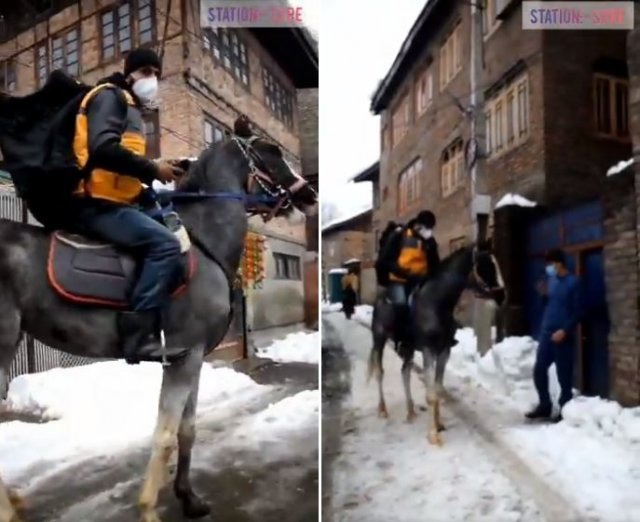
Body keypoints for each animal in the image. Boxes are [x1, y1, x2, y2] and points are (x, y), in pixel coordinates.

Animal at [0, 117, 318, 520]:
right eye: (270, 150)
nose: (310, 194)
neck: (203, 243)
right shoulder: (184, 356)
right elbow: (166, 433)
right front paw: (149, 508)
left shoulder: (193, 358)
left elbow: (187, 429)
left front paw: (189, 497)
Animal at [368, 244, 498, 442]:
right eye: (485, 265)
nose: (502, 295)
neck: (436, 303)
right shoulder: (428, 350)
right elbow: (430, 394)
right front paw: (433, 435)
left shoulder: (444, 351)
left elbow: (437, 388)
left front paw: (439, 424)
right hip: (379, 339)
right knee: (379, 372)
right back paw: (382, 409)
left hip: (408, 348)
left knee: (405, 372)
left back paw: (411, 411)